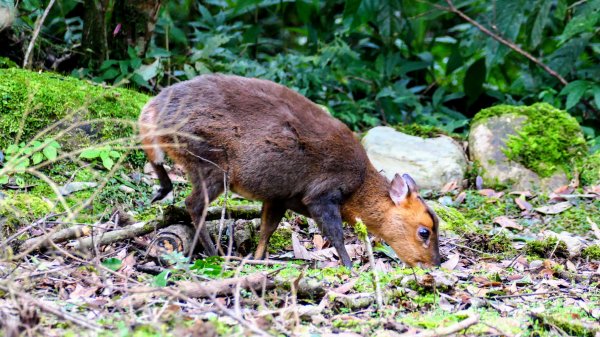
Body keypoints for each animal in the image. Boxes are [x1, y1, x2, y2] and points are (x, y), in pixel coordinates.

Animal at [139, 74, 440, 268]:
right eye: (424, 232)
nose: (435, 264)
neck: (359, 186)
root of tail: (154, 107)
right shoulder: (322, 194)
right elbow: (336, 234)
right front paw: (349, 266)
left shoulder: (278, 197)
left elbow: (267, 229)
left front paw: (258, 259)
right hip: (210, 161)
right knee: (193, 203)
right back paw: (214, 252)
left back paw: (162, 190)